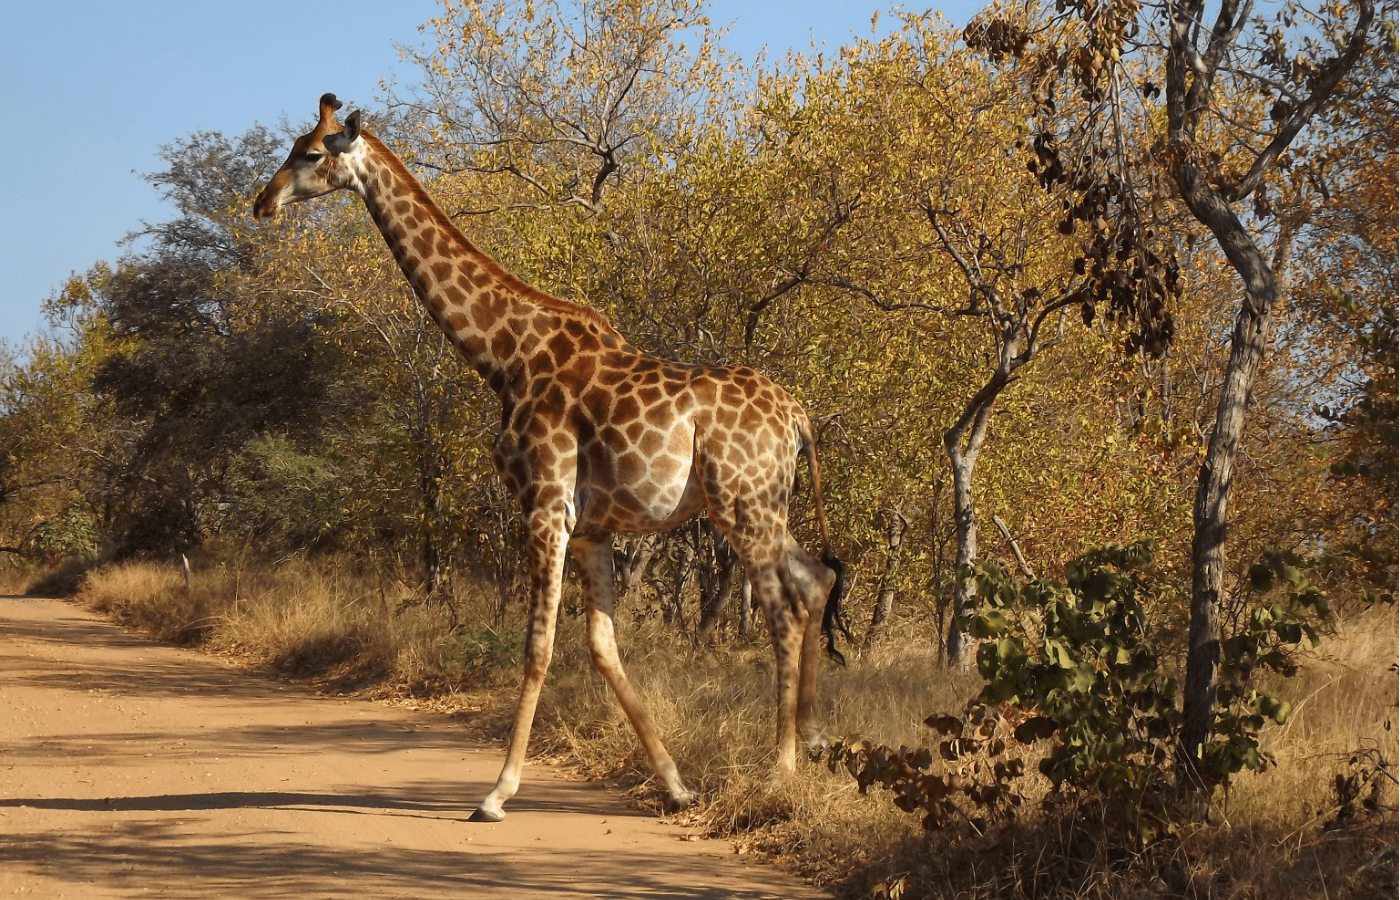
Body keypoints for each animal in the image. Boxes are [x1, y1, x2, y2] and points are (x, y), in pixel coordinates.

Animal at [253, 94, 848, 823]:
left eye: (310, 153)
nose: (262, 202)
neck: (501, 355)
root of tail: (798, 418)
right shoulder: (591, 526)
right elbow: (601, 647)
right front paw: (676, 783)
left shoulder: (542, 506)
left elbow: (537, 647)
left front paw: (496, 792)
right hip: (764, 503)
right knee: (816, 579)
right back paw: (815, 743)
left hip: (741, 503)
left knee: (783, 610)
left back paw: (779, 772)